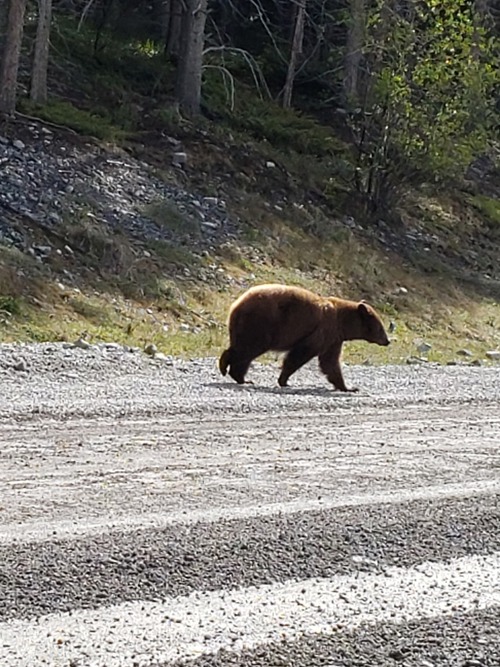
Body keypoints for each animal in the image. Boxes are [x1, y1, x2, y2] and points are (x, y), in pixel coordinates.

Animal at [219, 283, 390, 391]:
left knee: (242, 348)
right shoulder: (323, 330)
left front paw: (348, 387)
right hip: (261, 324)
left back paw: (238, 375)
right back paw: (231, 370)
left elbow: (330, 362)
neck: (342, 321)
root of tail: (237, 304)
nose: (387, 341)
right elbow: (301, 353)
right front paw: (284, 380)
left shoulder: (334, 339)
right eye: (381, 328)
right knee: (249, 349)